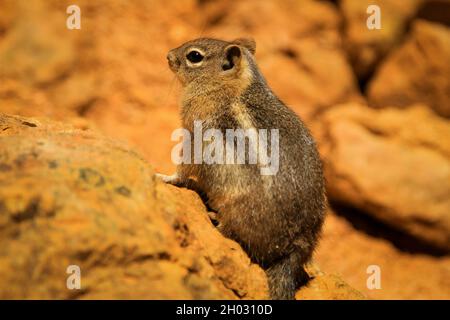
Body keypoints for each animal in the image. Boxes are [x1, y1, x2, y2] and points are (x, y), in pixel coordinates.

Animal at [158, 37, 326, 300]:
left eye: (194, 56)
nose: (168, 56)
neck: (231, 85)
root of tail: (297, 248)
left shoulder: (193, 134)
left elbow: (184, 167)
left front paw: (166, 177)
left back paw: (215, 218)